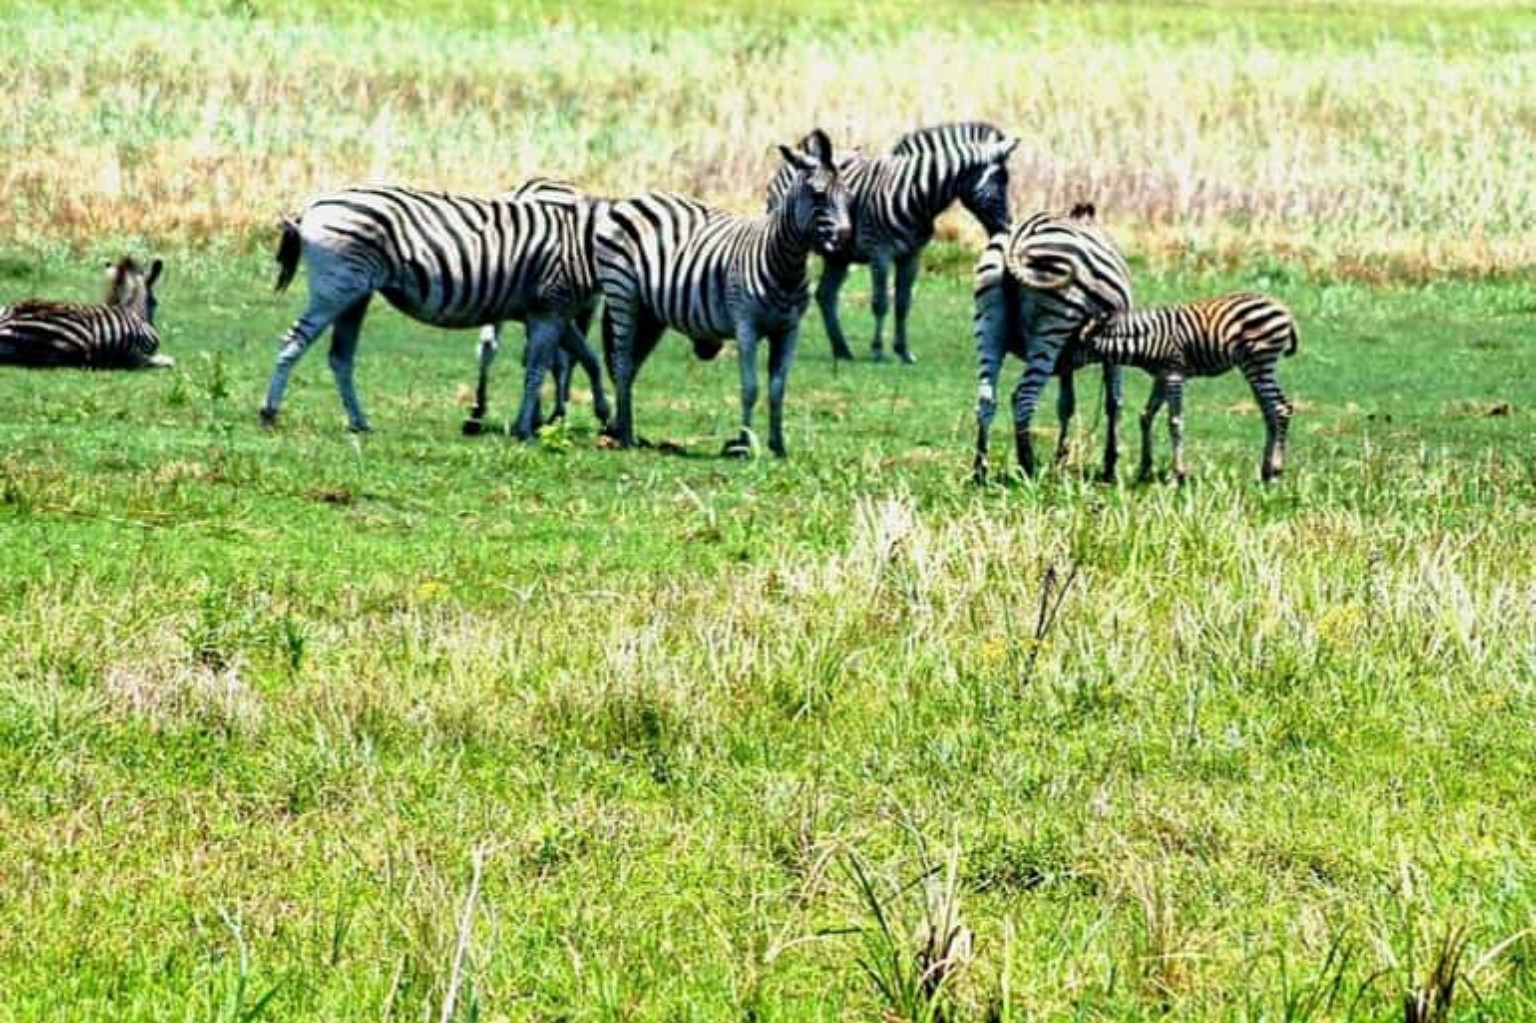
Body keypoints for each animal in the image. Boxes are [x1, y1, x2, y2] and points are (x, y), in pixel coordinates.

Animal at [596, 128, 852, 458]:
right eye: (819, 195)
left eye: (848, 196)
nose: (845, 238)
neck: (785, 265)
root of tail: (635, 198)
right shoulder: (746, 326)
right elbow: (750, 388)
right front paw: (743, 444)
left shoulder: (789, 330)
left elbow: (778, 388)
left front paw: (778, 445)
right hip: (622, 295)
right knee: (622, 362)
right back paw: (626, 438)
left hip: (651, 314)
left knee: (630, 366)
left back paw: (623, 431)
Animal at [766, 125, 1018, 363]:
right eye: (1000, 182)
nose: (1007, 227)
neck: (914, 194)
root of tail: (802, 153)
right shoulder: (880, 253)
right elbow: (881, 303)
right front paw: (878, 350)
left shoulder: (912, 255)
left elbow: (903, 303)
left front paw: (903, 351)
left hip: (838, 255)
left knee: (825, 295)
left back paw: (842, 350)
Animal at [972, 204, 1132, 483]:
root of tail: (1017, 238)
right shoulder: (1115, 348)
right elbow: (1114, 403)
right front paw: (1110, 467)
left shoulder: (1066, 360)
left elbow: (1066, 405)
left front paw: (1060, 460)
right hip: (1053, 325)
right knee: (1023, 398)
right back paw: (1028, 467)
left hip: (989, 324)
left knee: (986, 399)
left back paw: (980, 469)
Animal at [1072, 292, 1300, 482]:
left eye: (1075, 344)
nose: (1062, 364)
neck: (1146, 341)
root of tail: (1283, 308)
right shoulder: (1161, 377)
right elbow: (1145, 416)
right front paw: (1144, 469)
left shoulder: (1174, 375)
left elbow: (1174, 422)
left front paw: (1178, 474)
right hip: (1255, 367)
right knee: (1270, 413)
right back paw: (1266, 471)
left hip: (1259, 362)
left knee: (1281, 408)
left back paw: (1276, 471)